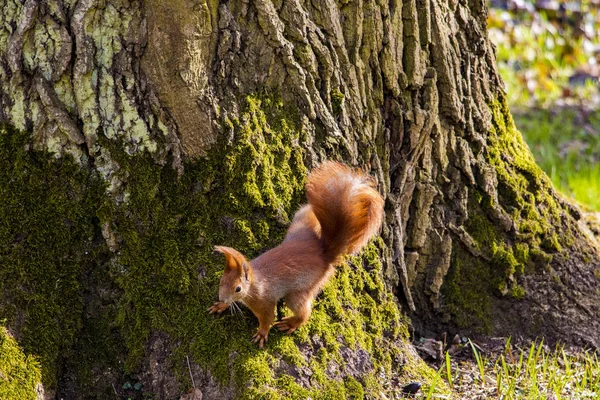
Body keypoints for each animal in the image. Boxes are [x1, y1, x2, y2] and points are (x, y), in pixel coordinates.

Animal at [207, 162, 384, 346]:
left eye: (238, 288)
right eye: (221, 280)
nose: (222, 298)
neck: (254, 283)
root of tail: (324, 255)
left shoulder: (265, 300)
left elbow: (268, 318)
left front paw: (262, 333)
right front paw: (221, 306)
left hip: (300, 290)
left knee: (303, 312)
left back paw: (291, 323)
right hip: (300, 223)